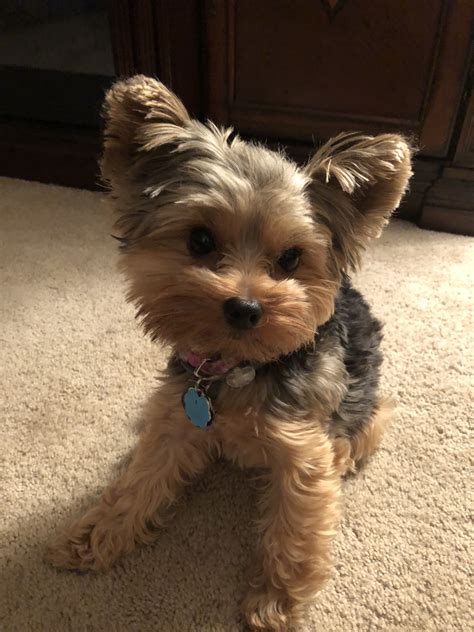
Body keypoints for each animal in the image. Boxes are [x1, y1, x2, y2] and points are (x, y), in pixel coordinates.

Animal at [46, 76, 412, 628]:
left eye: (291, 258)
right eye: (199, 239)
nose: (244, 307)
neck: (238, 368)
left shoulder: (302, 452)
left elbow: (293, 533)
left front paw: (274, 603)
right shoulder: (176, 422)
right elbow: (140, 482)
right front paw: (95, 538)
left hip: (366, 406)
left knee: (361, 428)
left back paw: (347, 453)